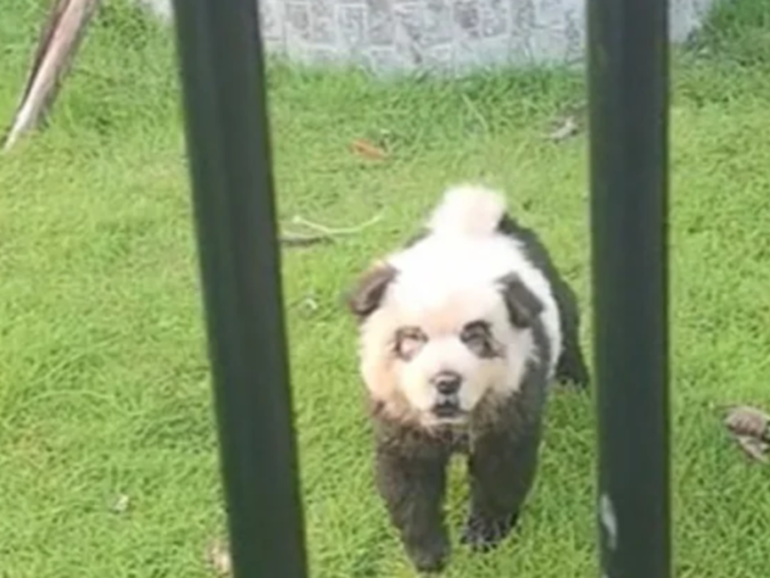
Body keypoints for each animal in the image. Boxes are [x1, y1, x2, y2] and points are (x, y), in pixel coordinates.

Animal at [344, 184, 584, 572]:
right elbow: (408, 483)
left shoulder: (510, 400)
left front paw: (483, 537)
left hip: (553, 293)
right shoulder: (400, 417)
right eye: (412, 338)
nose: (446, 381)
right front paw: (428, 554)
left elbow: (500, 471)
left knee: (570, 327)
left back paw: (576, 385)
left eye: (475, 337)